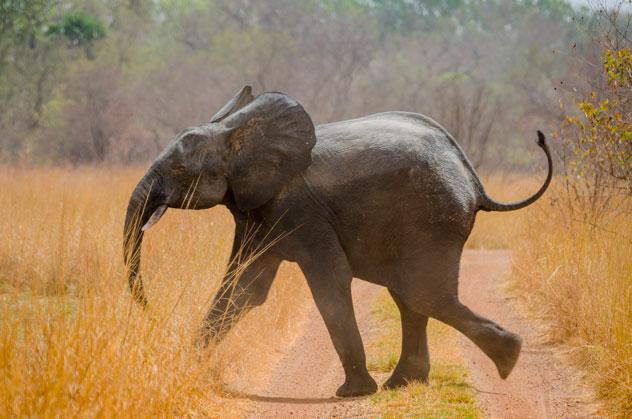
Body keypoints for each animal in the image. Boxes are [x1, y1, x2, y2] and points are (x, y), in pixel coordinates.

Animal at [122, 85, 548, 398]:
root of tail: (473, 180)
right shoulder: (258, 207)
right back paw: (404, 384)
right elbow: (243, 287)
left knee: (422, 293)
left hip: (433, 218)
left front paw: (353, 393)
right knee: (410, 296)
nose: (152, 310)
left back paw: (508, 357)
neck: (237, 132)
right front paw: (184, 369)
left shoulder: (300, 209)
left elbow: (328, 282)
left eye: (179, 168)